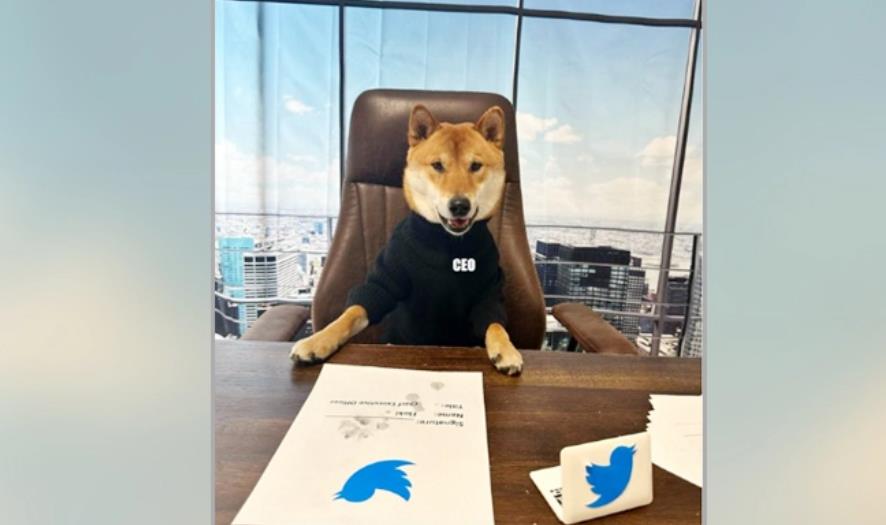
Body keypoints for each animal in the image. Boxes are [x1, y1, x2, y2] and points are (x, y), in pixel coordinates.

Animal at [290, 104, 523, 376]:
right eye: (437, 165)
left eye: (475, 166)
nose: (459, 205)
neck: (447, 243)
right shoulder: (386, 280)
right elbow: (350, 314)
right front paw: (317, 341)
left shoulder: (488, 291)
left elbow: (495, 324)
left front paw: (506, 349)